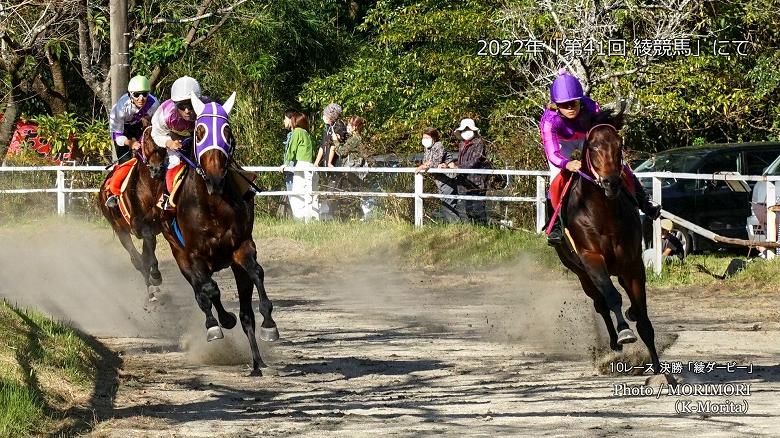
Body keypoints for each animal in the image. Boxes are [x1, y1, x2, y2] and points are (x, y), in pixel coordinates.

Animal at [98, 126, 167, 298]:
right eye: (146, 142)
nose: (157, 170)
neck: (150, 188)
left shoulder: (159, 224)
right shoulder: (139, 225)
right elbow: (146, 248)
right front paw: (155, 276)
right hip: (119, 230)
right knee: (135, 258)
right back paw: (150, 288)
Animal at [160, 92, 278, 376]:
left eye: (227, 131)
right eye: (200, 132)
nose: (215, 176)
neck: (212, 204)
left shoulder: (242, 247)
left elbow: (257, 273)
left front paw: (269, 324)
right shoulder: (194, 255)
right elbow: (209, 290)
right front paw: (221, 321)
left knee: (246, 312)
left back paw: (257, 362)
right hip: (180, 255)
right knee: (201, 291)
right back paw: (216, 322)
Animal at [552, 111, 660, 372]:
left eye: (619, 144)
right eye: (592, 146)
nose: (612, 182)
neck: (604, 214)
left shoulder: (632, 264)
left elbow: (642, 315)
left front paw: (659, 369)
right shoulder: (591, 260)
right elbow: (612, 297)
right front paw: (624, 333)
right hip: (581, 273)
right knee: (600, 303)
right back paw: (613, 341)